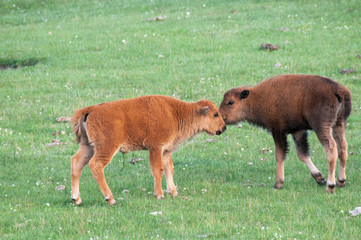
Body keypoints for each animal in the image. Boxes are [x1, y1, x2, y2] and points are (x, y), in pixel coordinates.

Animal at [70, 94, 225, 205]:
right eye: (215, 114)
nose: (223, 128)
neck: (175, 113)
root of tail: (91, 110)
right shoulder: (156, 147)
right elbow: (158, 169)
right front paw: (159, 195)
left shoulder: (165, 151)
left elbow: (169, 169)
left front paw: (174, 192)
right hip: (106, 147)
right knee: (96, 165)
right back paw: (111, 199)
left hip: (88, 146)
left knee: (76, 163)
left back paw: (76, 199)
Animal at [218, 74, 350, 192]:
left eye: (230, 102)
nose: (220, 117)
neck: (257, 98)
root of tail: (337, 90)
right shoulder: (297, 131)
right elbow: (302, 154)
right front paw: (319, 178)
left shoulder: (278, 130)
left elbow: (280, 155)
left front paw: (278, 183)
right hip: (339, 124)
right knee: (342, 147)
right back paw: (341, 181)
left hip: (322, 127)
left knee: (331, 148)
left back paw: (331, 186)